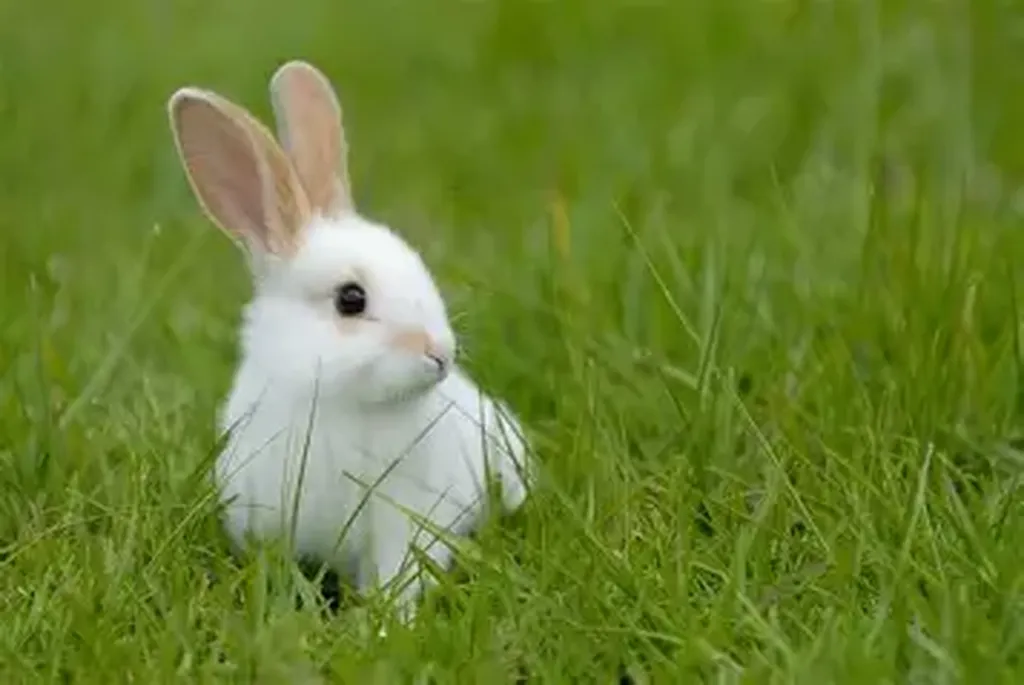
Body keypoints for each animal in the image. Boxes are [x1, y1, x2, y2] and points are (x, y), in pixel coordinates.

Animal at [166, 60, 531, 619]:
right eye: (351, 299)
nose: (439, 354)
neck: (334, 402)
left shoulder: (403, 522)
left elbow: (397, 576)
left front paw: (387, 622)